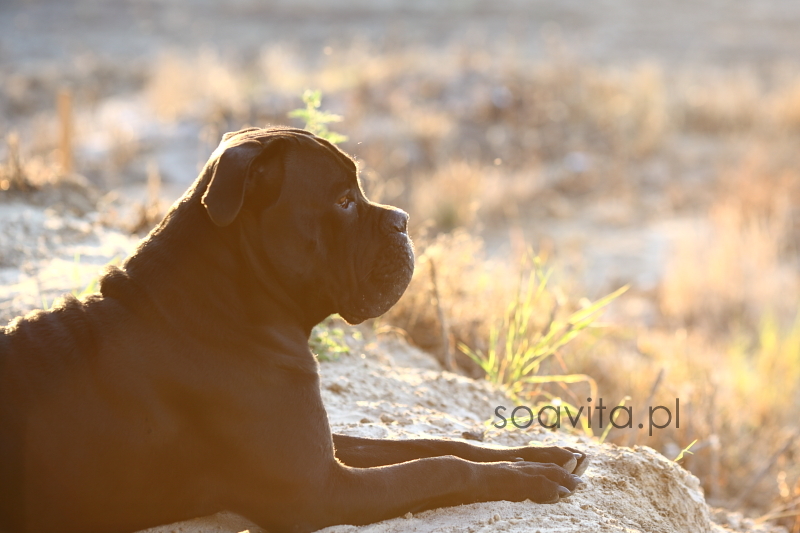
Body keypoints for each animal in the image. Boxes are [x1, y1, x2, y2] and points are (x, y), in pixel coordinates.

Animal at [0, 128, 588, 532]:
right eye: (344, 201)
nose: (403, 219)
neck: (218, 310)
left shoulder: (323, 449)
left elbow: (426, 441)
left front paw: (542, 453)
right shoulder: (321, 489)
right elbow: (438, 468)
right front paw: (531, 479)